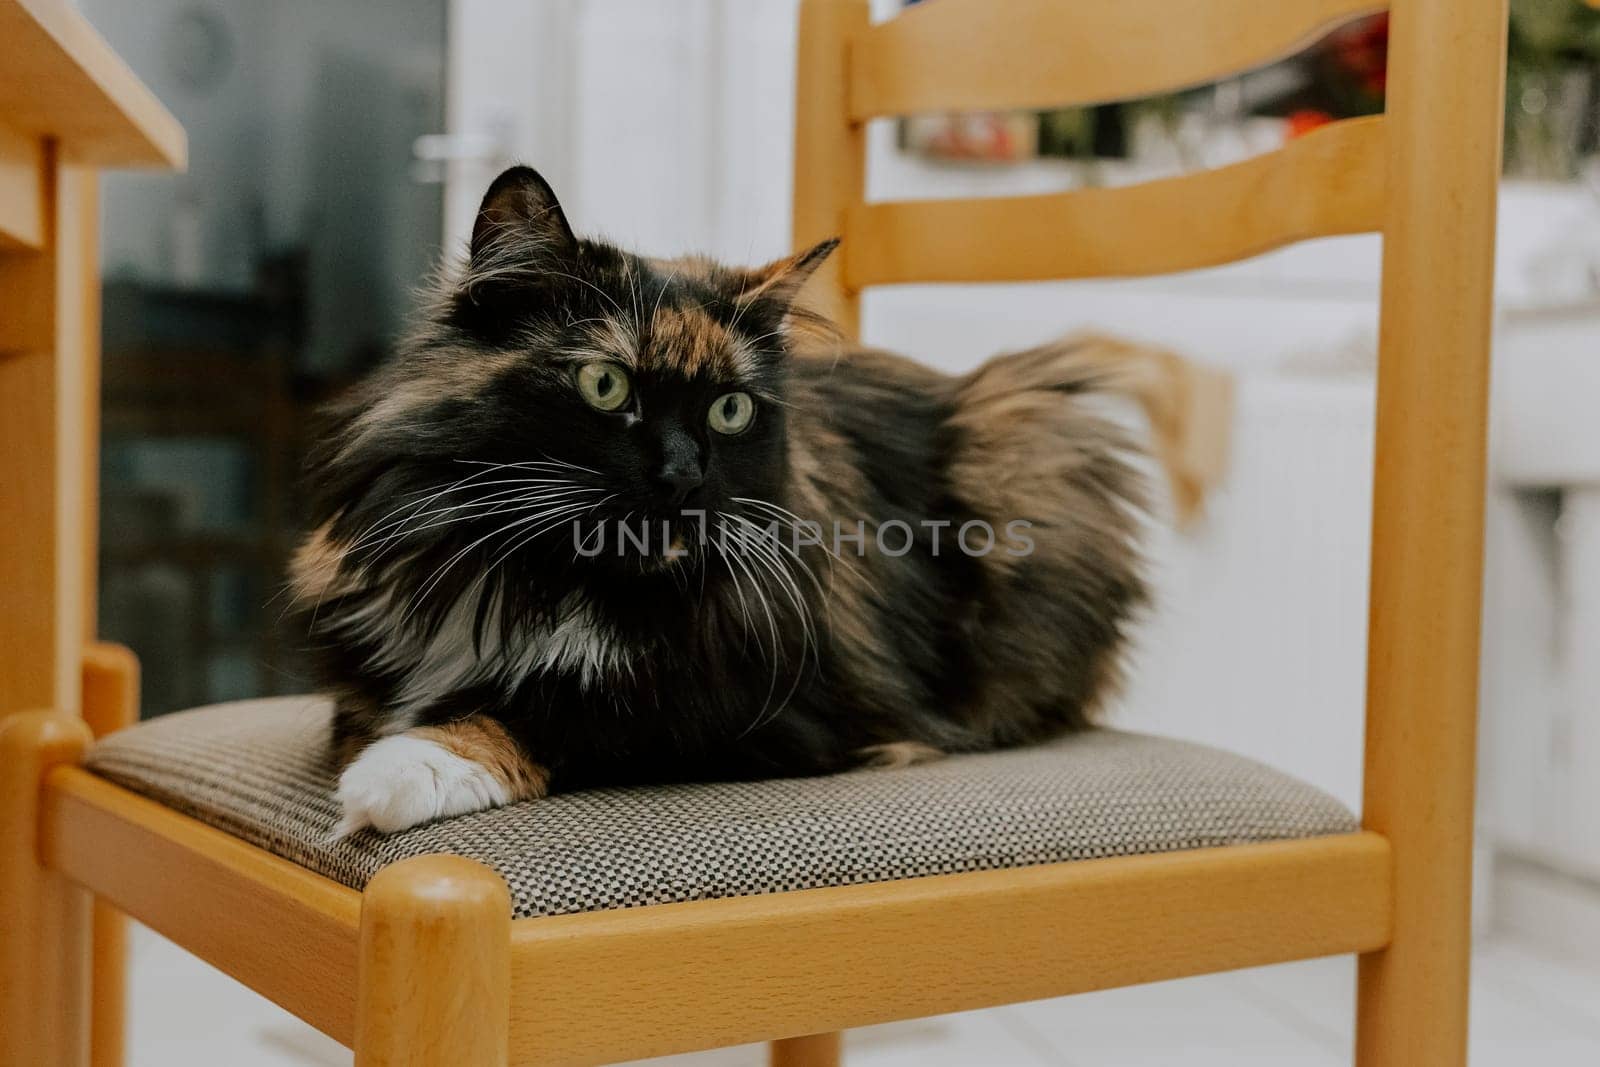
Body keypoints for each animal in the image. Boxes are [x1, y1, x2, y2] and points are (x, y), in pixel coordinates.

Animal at [294, 167, 1145, 831]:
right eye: (605, 385)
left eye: (730, 410)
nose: (682, 474)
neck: (548, 577)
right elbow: (362, 711)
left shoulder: (766, 707)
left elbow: (569, 707)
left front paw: (406, 768)